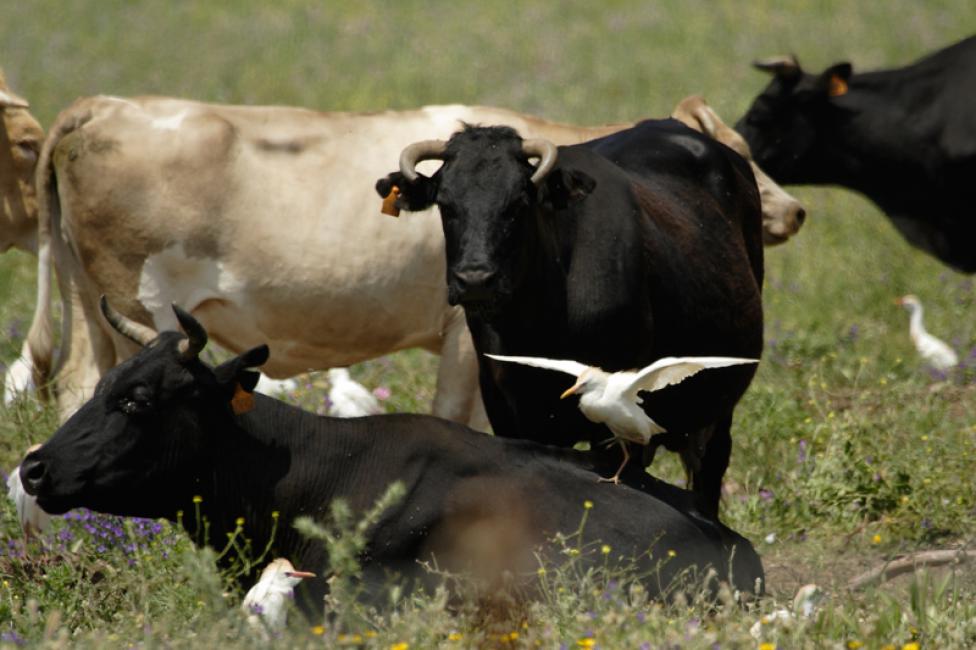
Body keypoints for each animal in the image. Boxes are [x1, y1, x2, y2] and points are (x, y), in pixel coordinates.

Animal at [21, 96, 800, 420]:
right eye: (743, 151)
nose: (792, 208)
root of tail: (105, 104)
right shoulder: (464, 340)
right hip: (138, 310)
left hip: (95, 308)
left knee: (75, 389)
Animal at [378, 121, 768, 520]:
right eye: (446, 204)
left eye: (518, 204)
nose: (475, 279)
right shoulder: (507, 411)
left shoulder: (614, 425)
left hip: (717, 415)